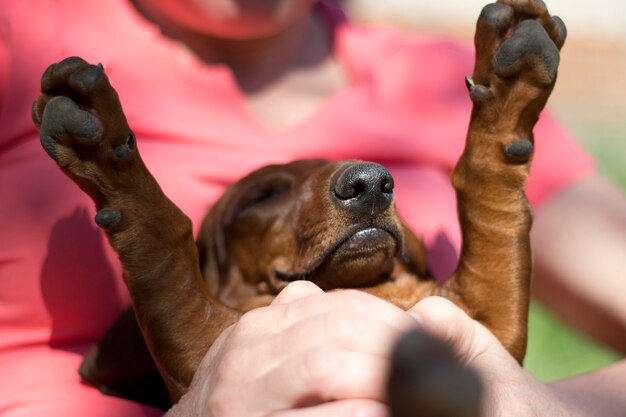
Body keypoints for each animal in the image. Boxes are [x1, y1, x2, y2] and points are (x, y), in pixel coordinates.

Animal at [30, 0, 564, 410]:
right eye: (264, 194)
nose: (371, 182)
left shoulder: (489, 323)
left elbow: (492, 211)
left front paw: (513, 87)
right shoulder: (205, 351)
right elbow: (164, 252)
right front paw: (105, 152)